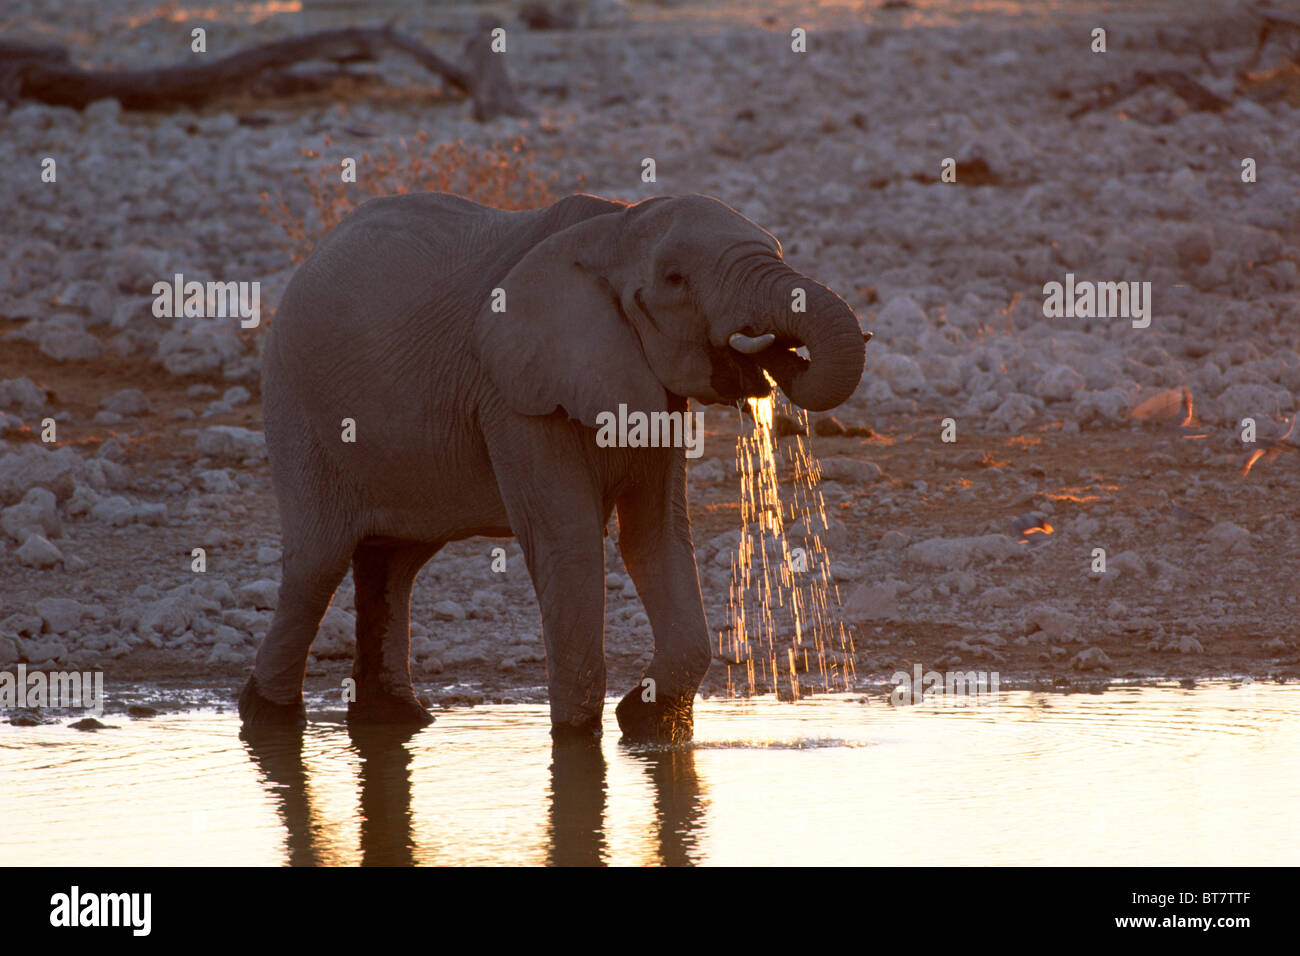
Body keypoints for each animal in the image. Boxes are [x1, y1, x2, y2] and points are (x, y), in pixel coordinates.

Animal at [241, 191, 873, 743]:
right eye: (675, 280)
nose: (775, 357)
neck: (613, 229)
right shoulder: (514, 394)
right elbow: (570, 546)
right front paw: (578, 741)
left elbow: (658, 537)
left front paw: (647, 722)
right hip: (298, 405)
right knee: (318, 563)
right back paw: (267, 717)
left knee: (394, 562)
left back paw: (395, 720)